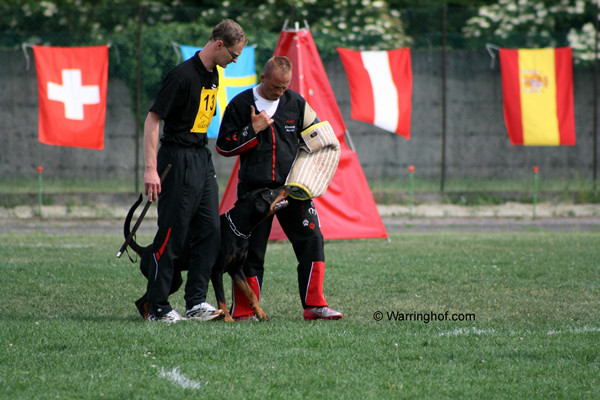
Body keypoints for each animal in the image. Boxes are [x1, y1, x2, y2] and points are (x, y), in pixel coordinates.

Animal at [123, 185, 290, 322]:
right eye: (270, 192)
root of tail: (145, 250)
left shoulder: (236, 270)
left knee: (143, 300)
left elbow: (251, 293)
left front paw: (261, 314)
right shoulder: (216, 271)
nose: (287, 186)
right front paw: (228, 319)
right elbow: (221, 298)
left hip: (176, 281)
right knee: (143, 301)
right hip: (167, 279)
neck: (237, 229)